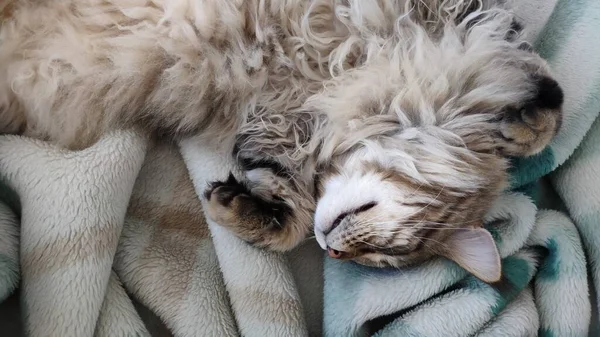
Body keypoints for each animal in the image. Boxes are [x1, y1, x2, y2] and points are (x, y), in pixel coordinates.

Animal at [0, 0, 564, 280]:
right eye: (393, 247)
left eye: (381, 260)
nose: (334, 253)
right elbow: (509, 58)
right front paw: (527, 115)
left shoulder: (280, 125)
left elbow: (284, 206)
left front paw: (245, 211)